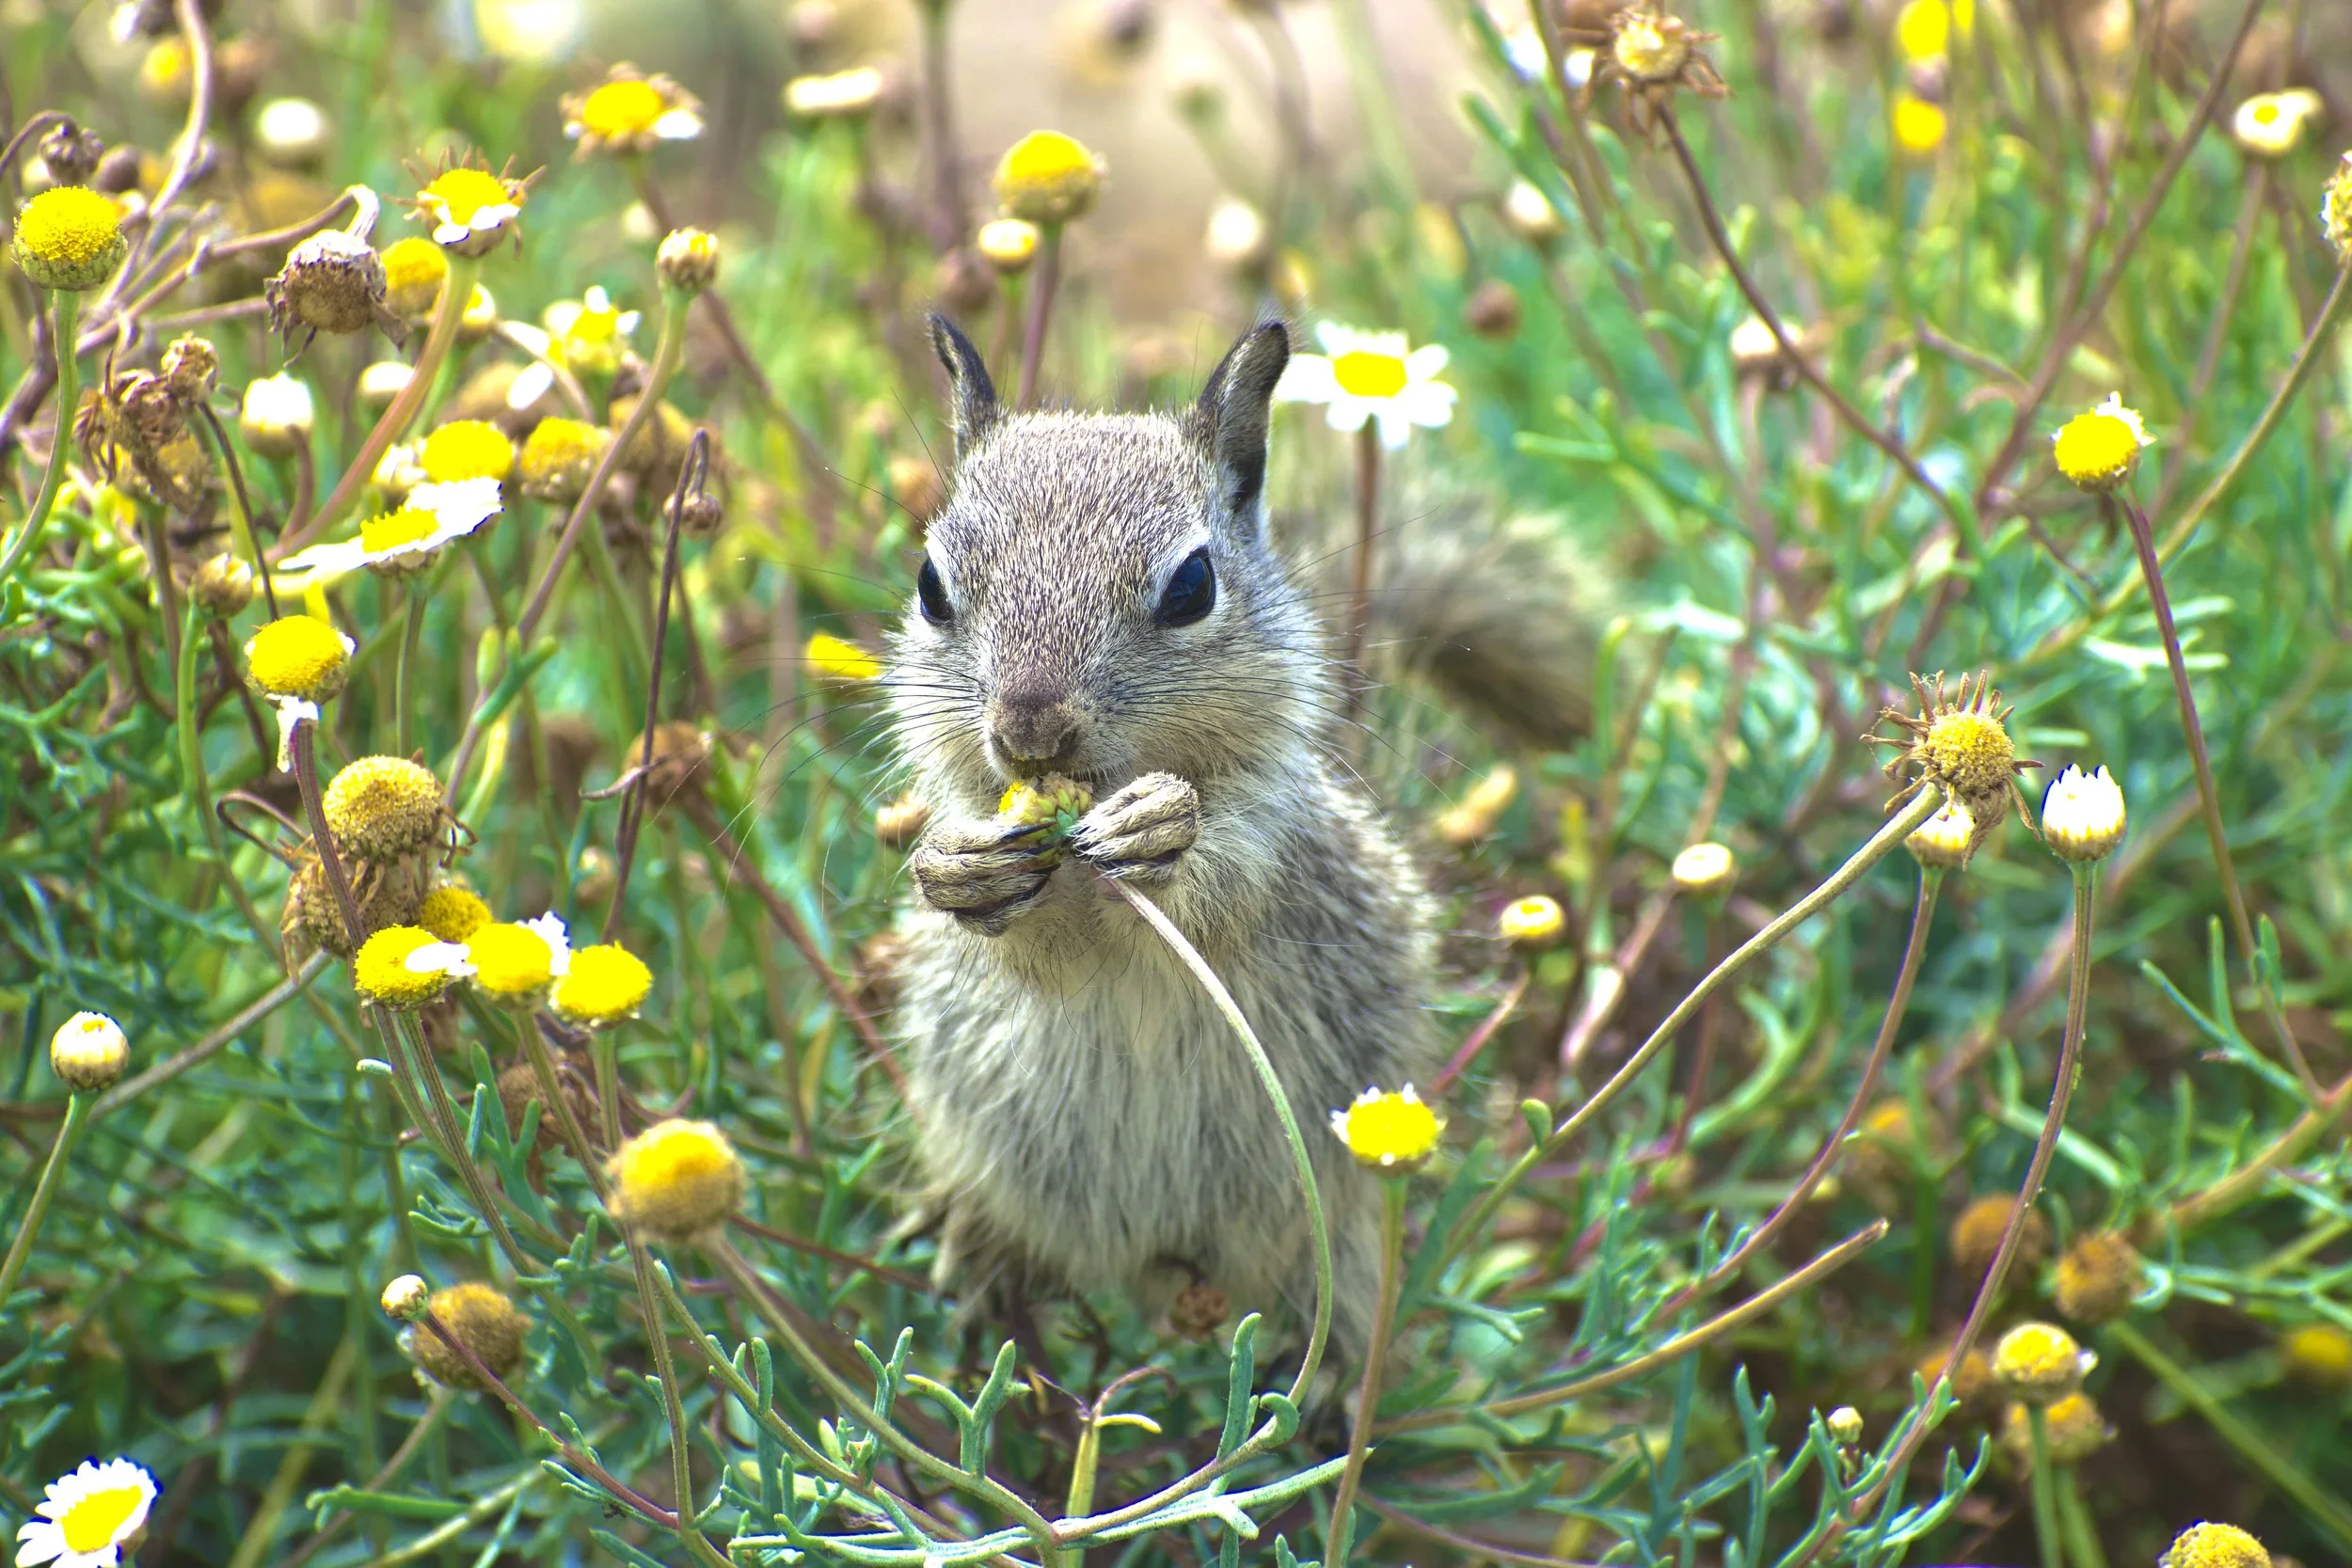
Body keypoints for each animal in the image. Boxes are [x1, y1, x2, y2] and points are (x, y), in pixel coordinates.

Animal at [884, 315, 1592, 1364]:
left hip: (1336, 1223)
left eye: (1191, 585)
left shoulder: (1273, 832)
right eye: (931, 584)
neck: (1081, 869)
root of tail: (1156, 1273)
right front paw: (956, 868)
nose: (1029, 729)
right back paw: (972, 1247)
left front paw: (1160, 827)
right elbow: (1022, 945)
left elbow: (1223, 874)